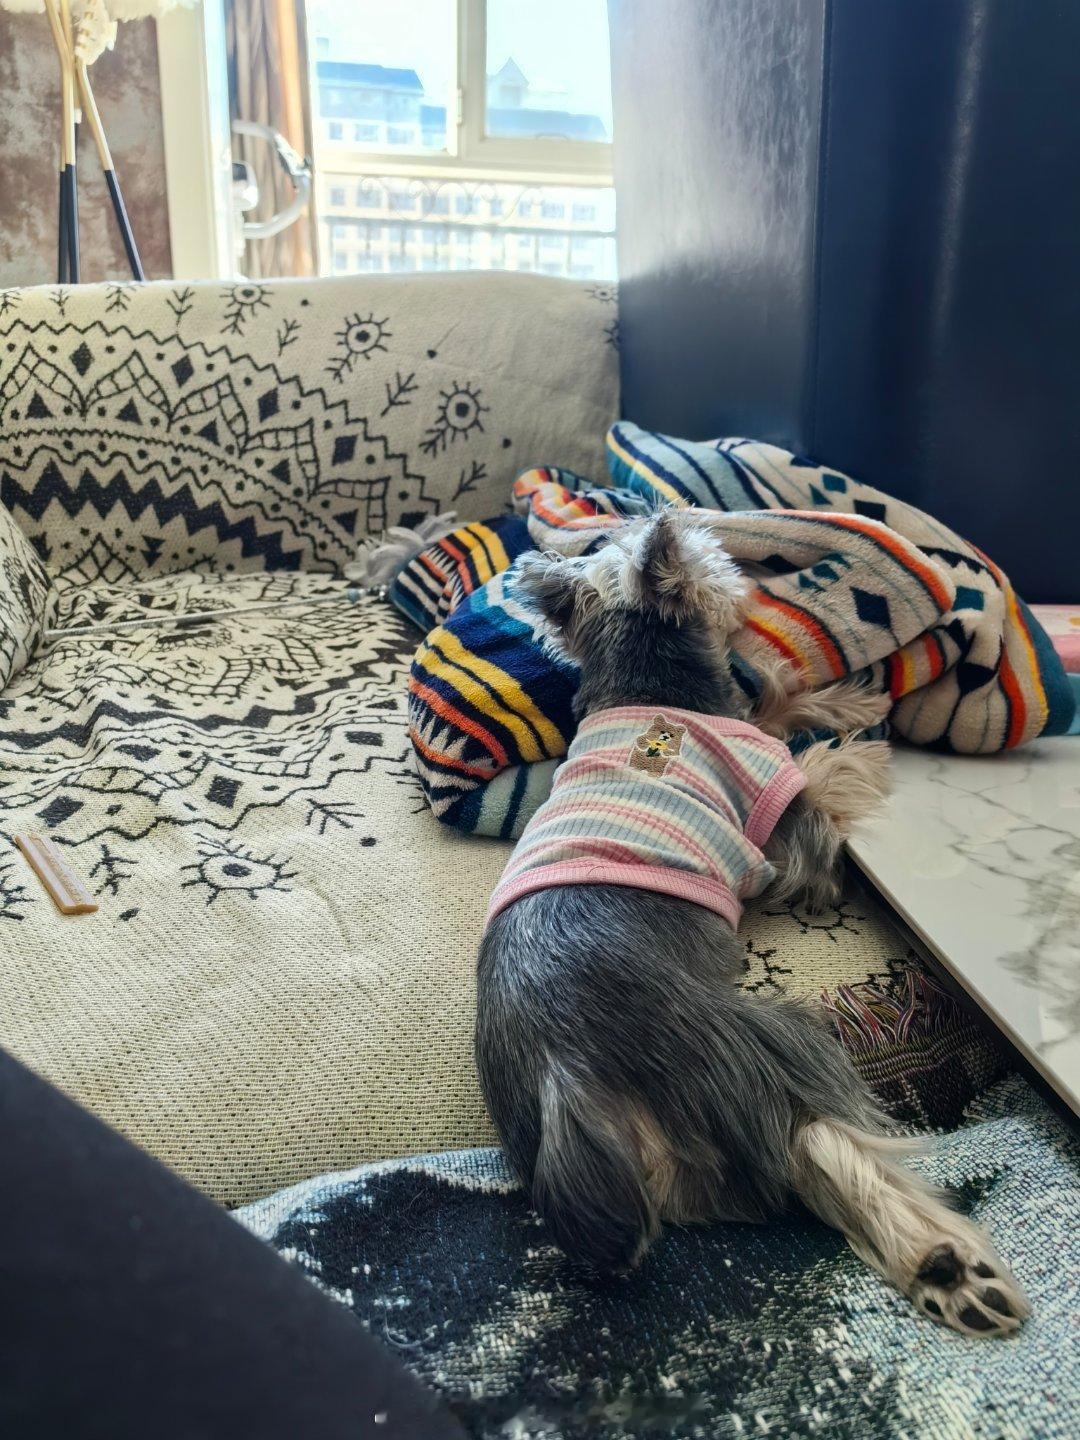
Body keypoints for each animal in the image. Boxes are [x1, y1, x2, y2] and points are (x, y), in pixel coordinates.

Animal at [475, 510, 1027, 1337]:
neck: (643, 679)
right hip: (751, 1051)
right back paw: (946, 1265)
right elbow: (814, 772)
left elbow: (777, 696)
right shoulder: (791, 829)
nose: (754, 584)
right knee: (816, 1138)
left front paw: (848, 703)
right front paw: (859, 742)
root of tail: (564, 1082)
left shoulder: (743, 718)